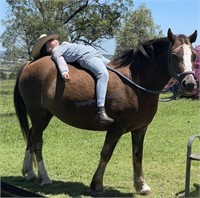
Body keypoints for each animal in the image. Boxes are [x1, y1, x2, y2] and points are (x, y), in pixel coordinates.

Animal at [13, 28, 197, 195]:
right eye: (174, 54)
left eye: (194, 55)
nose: (189, 84)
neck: (135, 83)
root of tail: (29, 64)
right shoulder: (116, 128)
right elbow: (106, 153)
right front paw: (97, 184)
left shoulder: (140, 128)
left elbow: (137, 155)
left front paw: (142, 186)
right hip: (38, 114)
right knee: (37, 142)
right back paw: (44, 178)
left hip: (45, 115)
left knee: (31, 136)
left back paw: (29, 172)